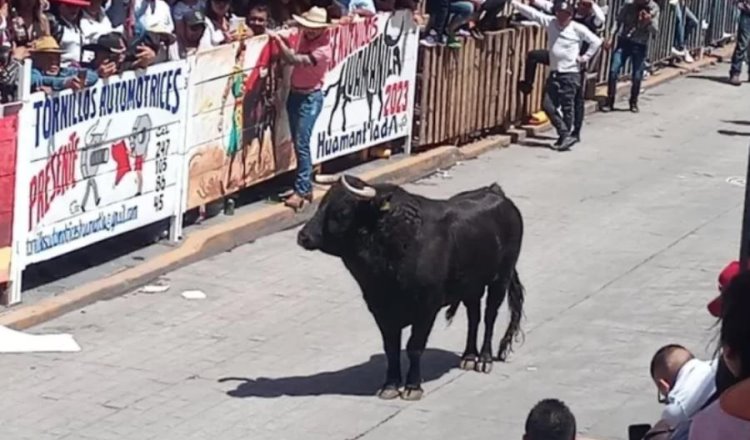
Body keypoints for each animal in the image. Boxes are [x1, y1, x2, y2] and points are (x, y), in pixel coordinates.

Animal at [296, 174, 524, 398]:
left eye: (341, 211)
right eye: (322, 204)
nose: (303, 236)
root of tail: (495, 192)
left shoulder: (426, 308)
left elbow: (414, 346)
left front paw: (413, 387)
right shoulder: (380, 309)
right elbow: (391, 348)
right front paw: (390, 385)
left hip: (500, 278)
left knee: (489, 316)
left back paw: (484, 359)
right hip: (471, 286)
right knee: (473, 315)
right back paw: (468, 357)